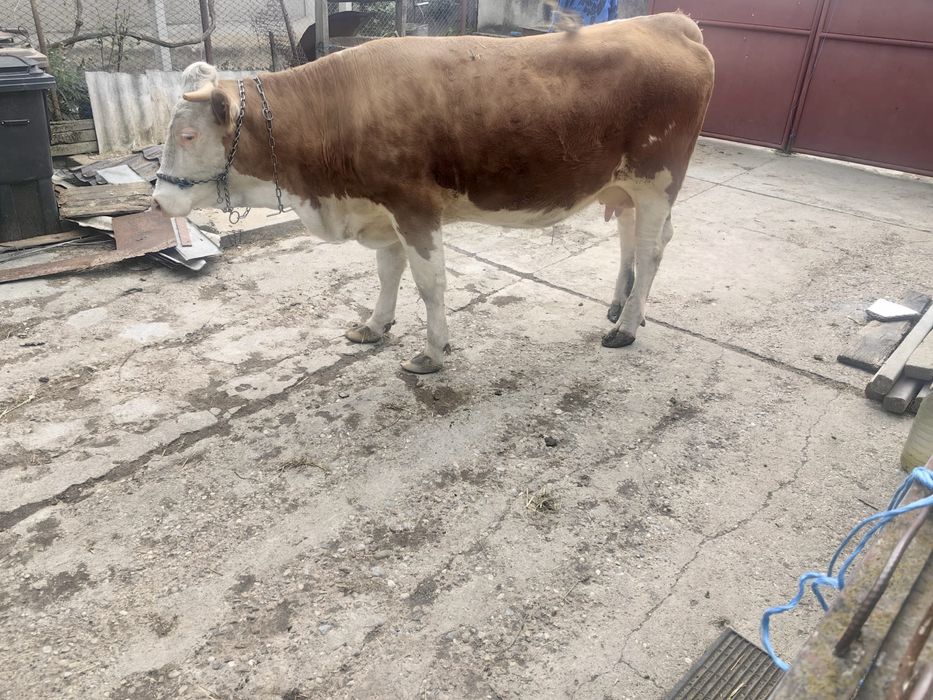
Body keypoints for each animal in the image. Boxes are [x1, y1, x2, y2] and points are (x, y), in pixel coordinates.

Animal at [152, 12, 714, 374]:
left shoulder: (414, 206)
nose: (157, 201)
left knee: (651, 247)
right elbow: (387, 273)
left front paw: (433, 353)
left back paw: (627, 327)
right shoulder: (384, 211)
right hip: (624, 183)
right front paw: (374, 326)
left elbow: (430, 284)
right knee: (629, 236)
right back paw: (621, 305)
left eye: (188, 135)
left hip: (658, 179)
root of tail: (669, 20)